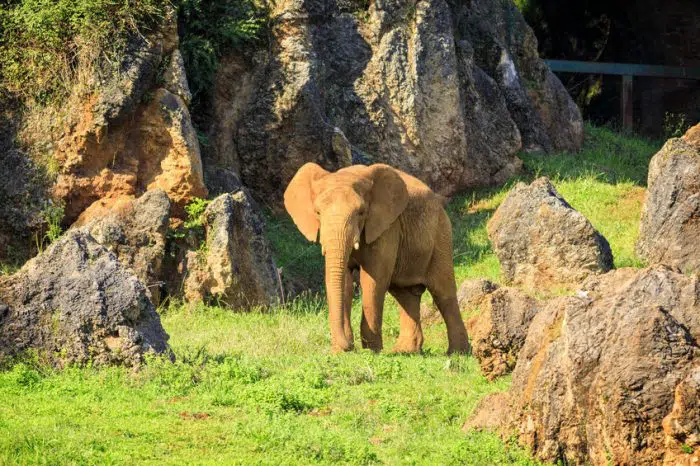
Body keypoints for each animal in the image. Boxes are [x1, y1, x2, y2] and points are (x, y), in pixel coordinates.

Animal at [282, 163, 468, 354]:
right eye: (317, 212)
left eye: (361, 212)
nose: (349, 347)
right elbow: (345, 280)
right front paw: (342, 351)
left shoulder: (387, 228)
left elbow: (373, 279)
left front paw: (372, 351)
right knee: (405, 293)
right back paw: (405, 351)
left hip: (441, 234)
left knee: (443, 292)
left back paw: (457, 353)